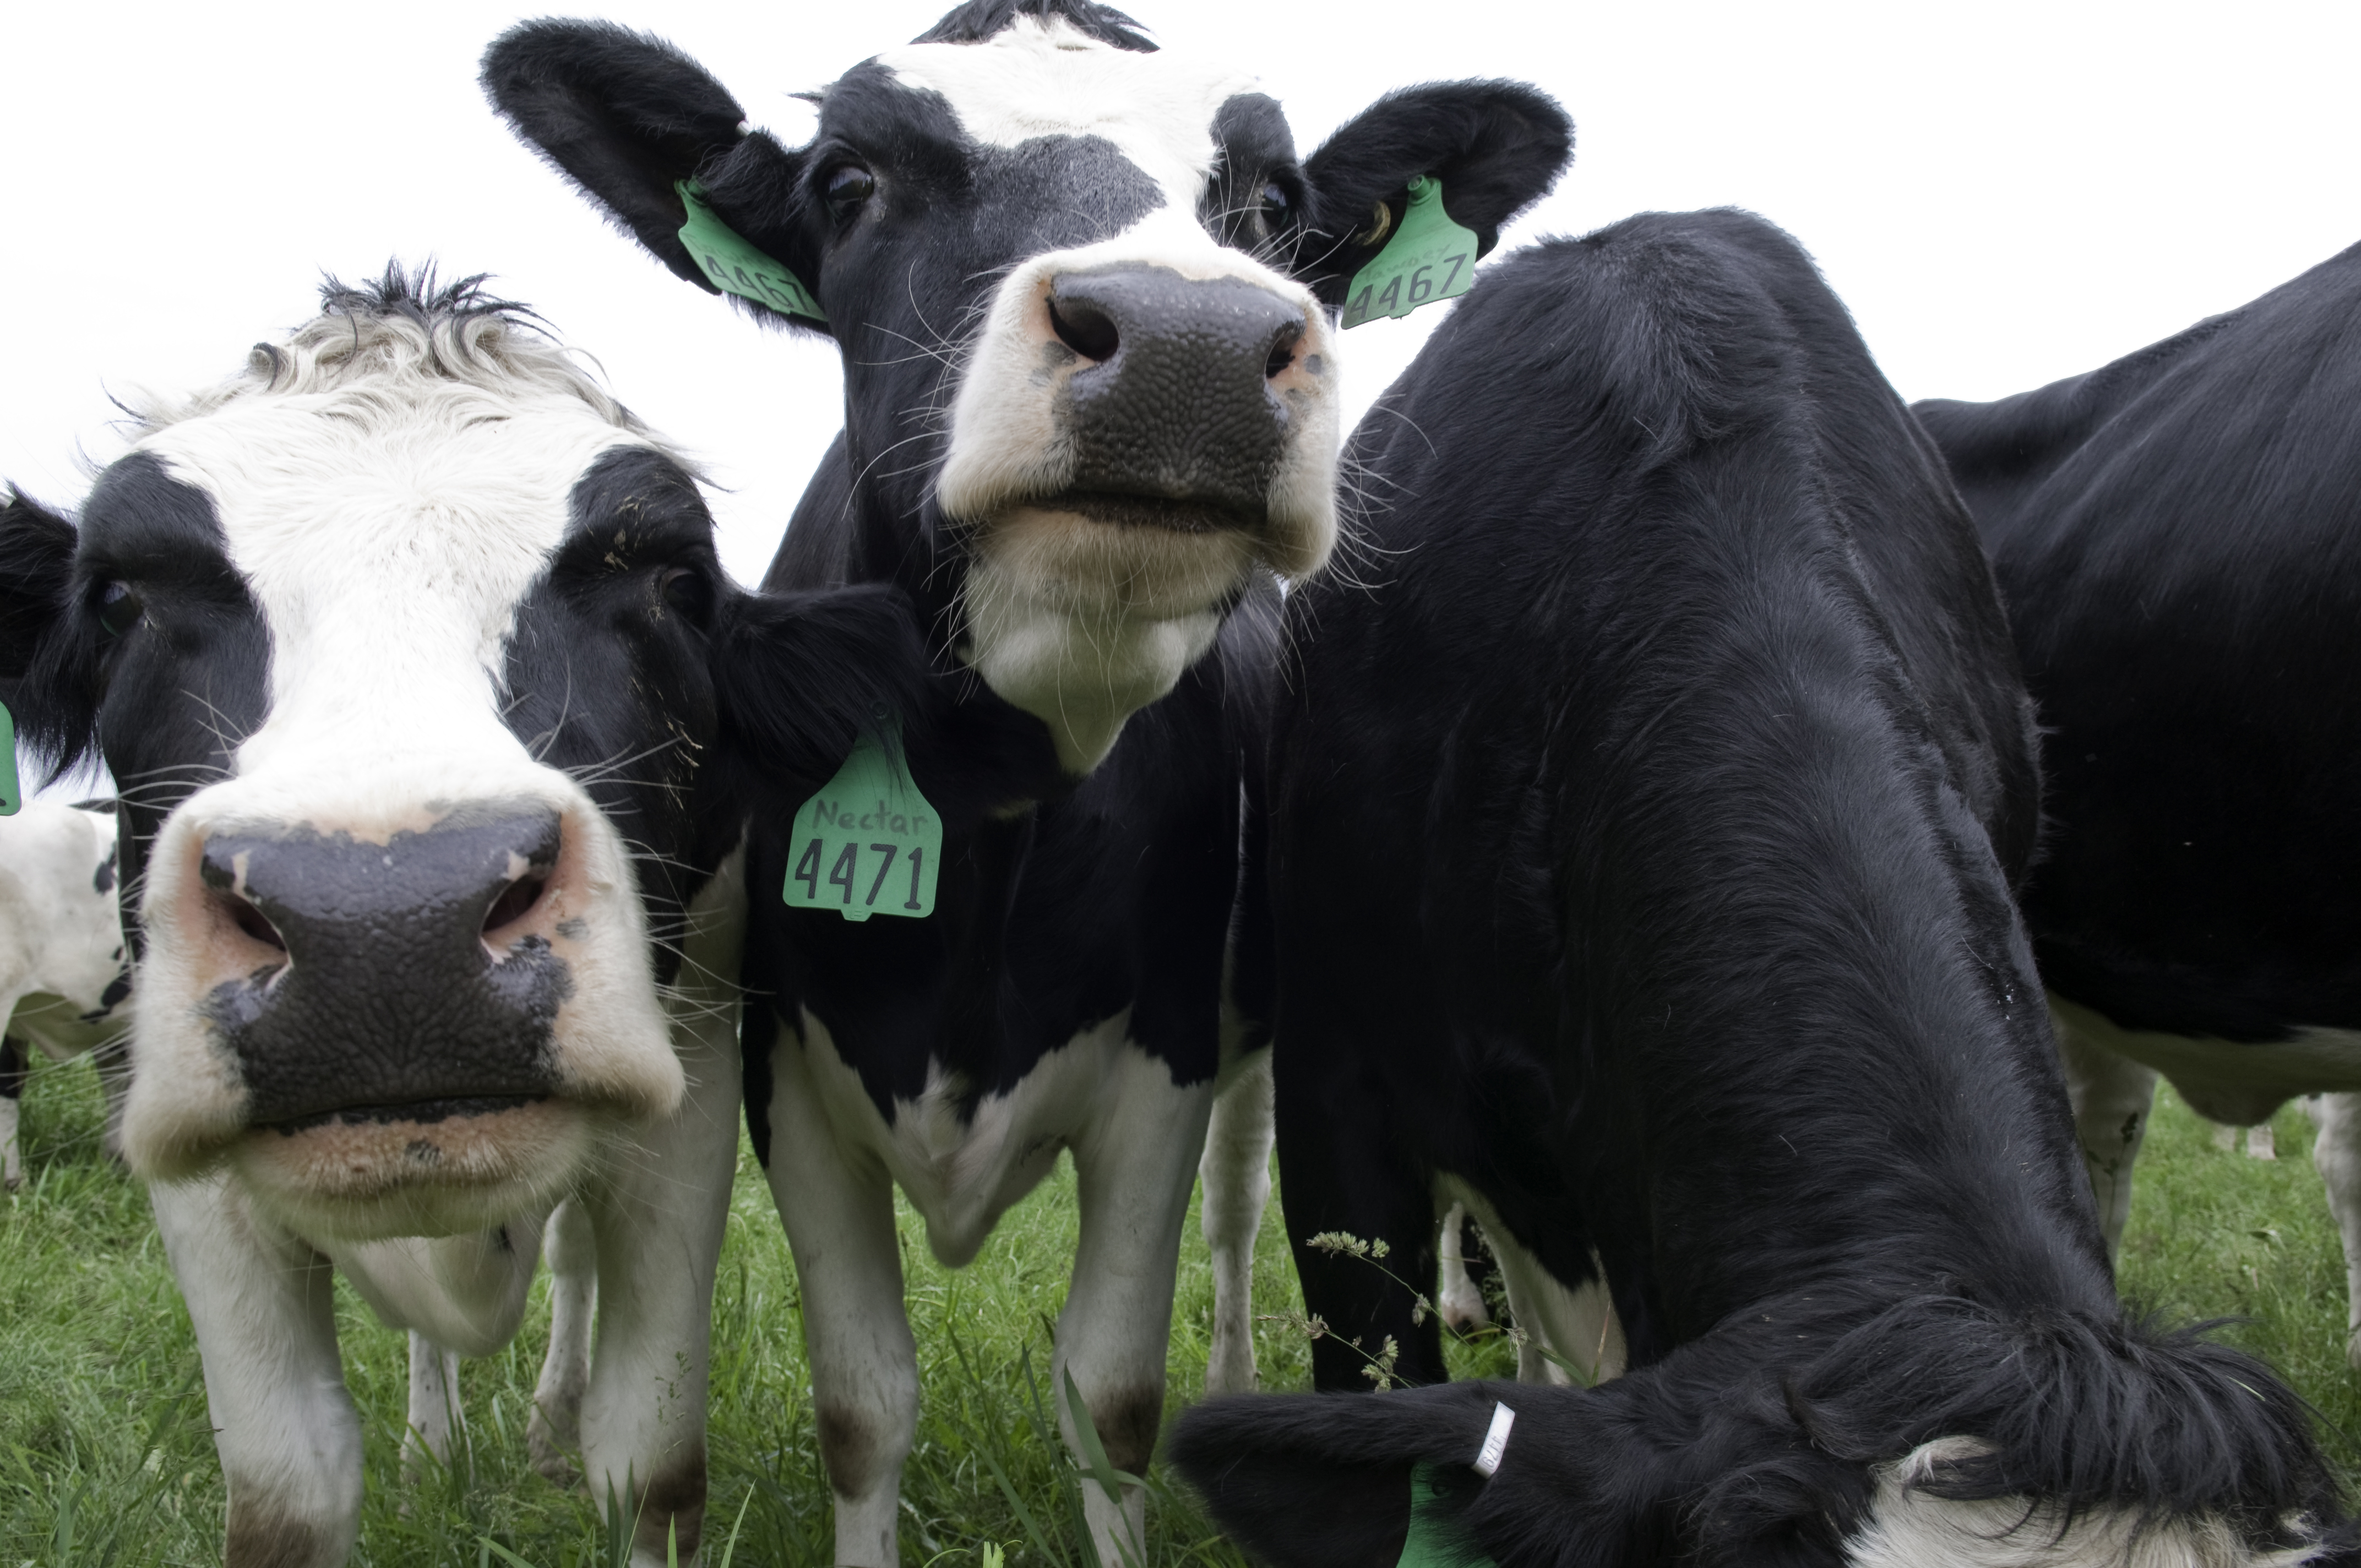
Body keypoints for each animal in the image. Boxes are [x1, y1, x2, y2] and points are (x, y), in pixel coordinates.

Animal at [480, 3, 1570, 1561]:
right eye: (848, 182)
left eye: (1273, 202)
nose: (1187, 340)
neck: (997, 795)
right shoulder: (784, 1071)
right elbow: (861, 1404)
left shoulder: (1162, 1061)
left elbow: (1109, 1393)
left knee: (1245, 1214)